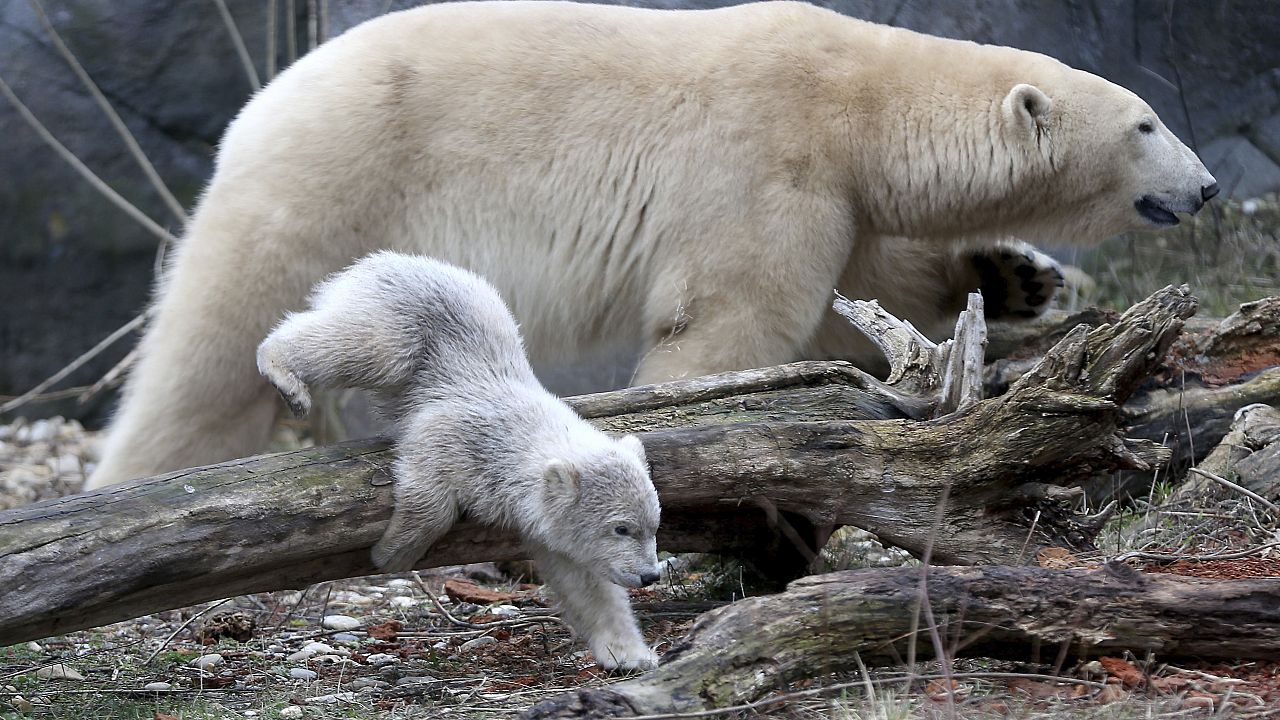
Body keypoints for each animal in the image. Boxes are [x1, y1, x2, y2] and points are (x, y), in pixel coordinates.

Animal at [87, 0, 1208, 484]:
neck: (860, 97)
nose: (1201, 188)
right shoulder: (763, 153)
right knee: (213, 350)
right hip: (334, 179)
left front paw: (1016, 276)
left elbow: (864, 295)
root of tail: (258, 106)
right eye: (1148, 122)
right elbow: (732, 318)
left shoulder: (835, 192)